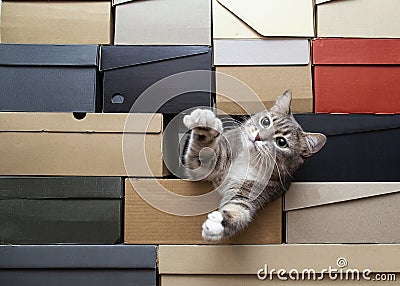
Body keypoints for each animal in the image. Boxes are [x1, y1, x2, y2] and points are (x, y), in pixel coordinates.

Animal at [183, 91, 326, 241]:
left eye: (281, 142)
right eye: (266, 121)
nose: (258, 137)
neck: (249, 159)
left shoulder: (252, 190)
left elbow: (239, 208)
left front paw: (219, 223)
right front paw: (204, 124)